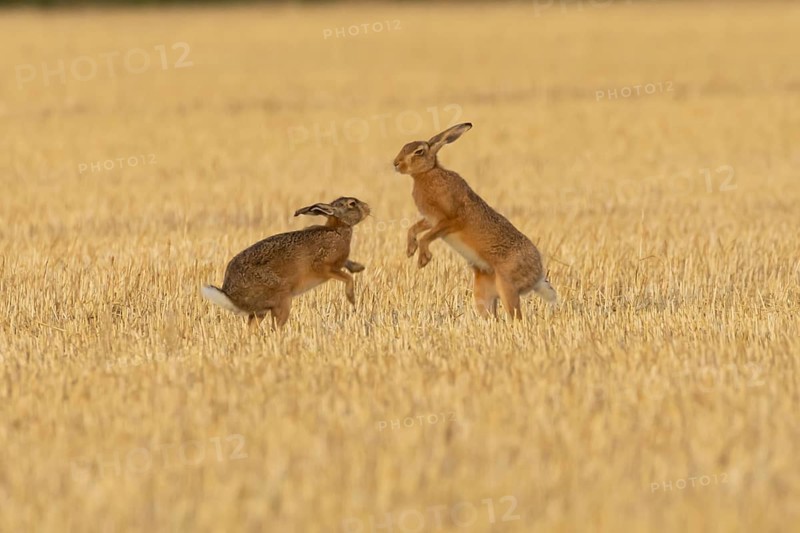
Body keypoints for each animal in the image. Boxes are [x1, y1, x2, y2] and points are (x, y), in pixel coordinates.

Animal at [201, 197, 370, 328]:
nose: (368, 208)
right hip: (282, 299)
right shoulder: (324, 267)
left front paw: (359, 267)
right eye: (352, 203)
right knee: (275, 327)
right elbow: (348, 278)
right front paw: (352, 299)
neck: (338, 229)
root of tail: (231, 297)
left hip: (262, 311)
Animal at [393, 122, 556, 319]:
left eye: (419, 151)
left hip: (507, 286)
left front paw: (423, 260)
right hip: (482, 293)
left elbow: (427, 237)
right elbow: (414, 229)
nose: (396, 164)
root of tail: (538, 275)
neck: (427, 173)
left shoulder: (451, 220)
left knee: (516, 317)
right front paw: (410, 250)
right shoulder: (432, 220)